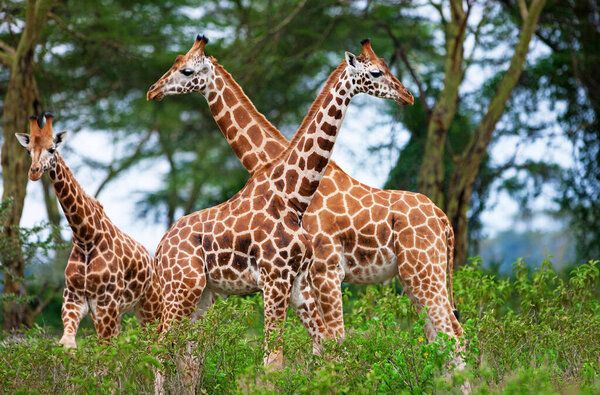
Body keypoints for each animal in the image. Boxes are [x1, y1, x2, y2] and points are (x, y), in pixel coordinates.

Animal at [14, 114, 162, 350]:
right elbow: (68, 344)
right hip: (124, 311)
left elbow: (107, 351)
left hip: (150, 307)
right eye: (29, 150)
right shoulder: (75, 299)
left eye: (52, 149)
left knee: (156, 344)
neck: (85, 237)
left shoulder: (106, 302)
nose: (34, 172)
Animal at [146, 35, 464, 344]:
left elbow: (328, 341)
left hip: (422, 270)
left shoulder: (324, 270)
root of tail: (444, 220)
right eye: (177, 64)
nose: (153, 90)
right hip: (416, 275)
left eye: (186, 70)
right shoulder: (314, 275)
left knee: (451, 334)